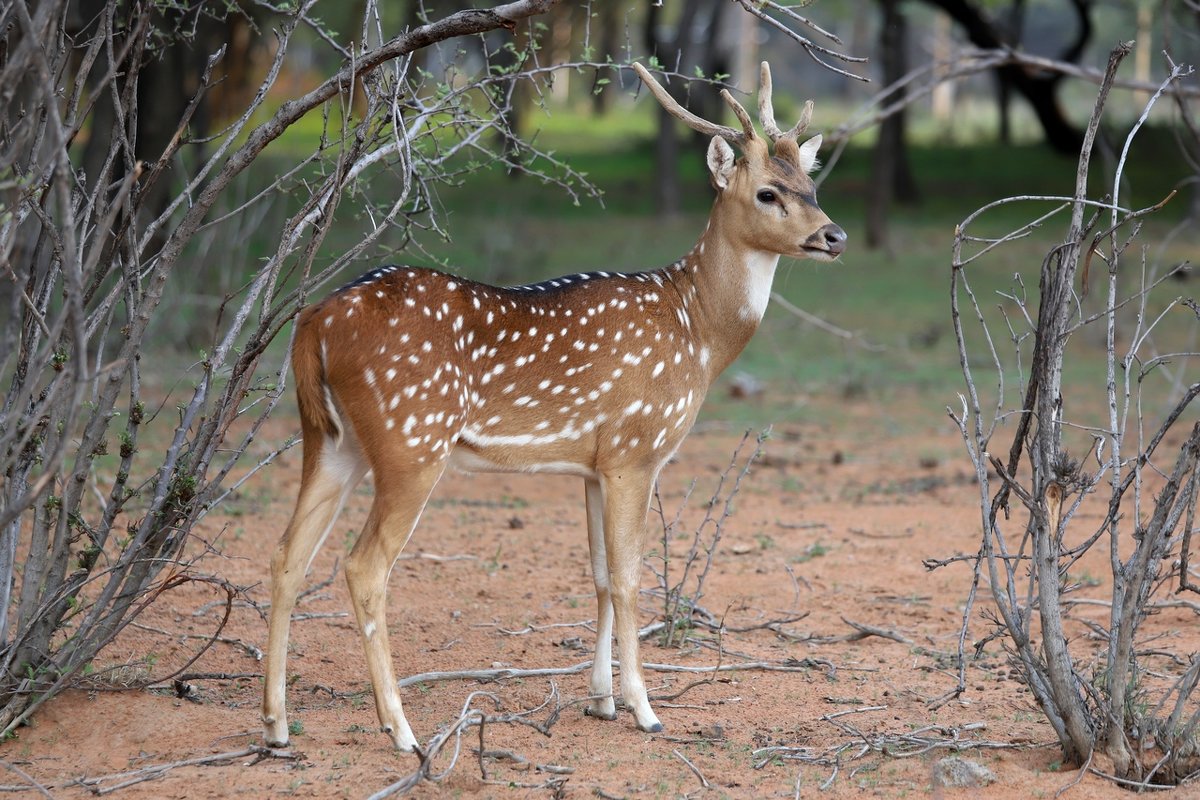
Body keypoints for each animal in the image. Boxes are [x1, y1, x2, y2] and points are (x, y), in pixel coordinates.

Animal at [262, 62, 849, 753]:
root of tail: (312, 322)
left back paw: (276, 725)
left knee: (286, 555)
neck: (697, 333)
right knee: (362, 568)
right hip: (412, 440)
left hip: (330, 438)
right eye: (767, 193)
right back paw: (401, 729)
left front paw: (600, 701)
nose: (833, 235)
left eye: (810, 184)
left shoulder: (592, 465)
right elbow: (628, 578)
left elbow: (597, 575)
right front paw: (644, 709)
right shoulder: (634, 450)